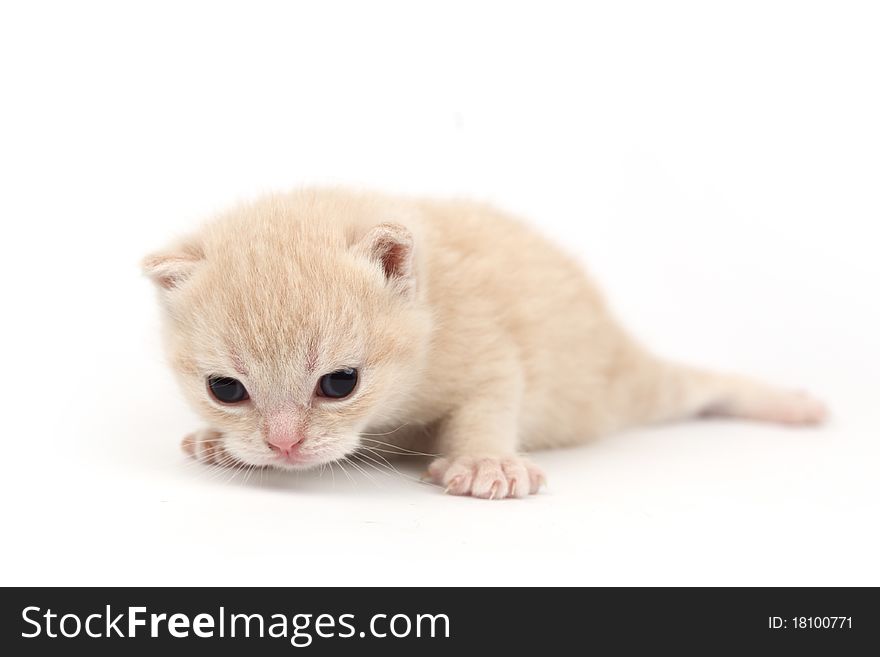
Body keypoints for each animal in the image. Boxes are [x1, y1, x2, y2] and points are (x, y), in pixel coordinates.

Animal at [143, 187, 824, 500]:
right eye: (225, 390)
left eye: (340, 383)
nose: (284, 446)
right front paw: (220, 441)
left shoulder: (488, 348)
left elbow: (491, 401)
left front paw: (484, 462)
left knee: (699, 387)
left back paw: (793, 405)